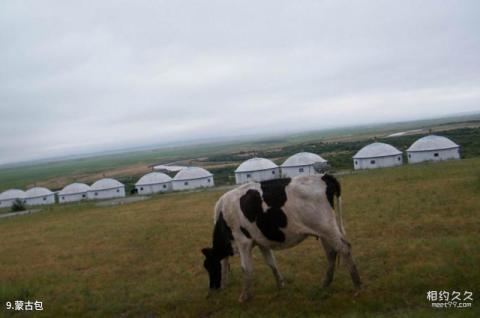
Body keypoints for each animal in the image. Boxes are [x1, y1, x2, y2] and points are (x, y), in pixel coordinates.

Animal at [201, 173, 362, 302]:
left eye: (208, 266)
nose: (212, 289)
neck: (223, 216)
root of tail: (323, 176)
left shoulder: (243, 242)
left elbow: (245, 268)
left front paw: (243, 296)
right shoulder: (261, 241)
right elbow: (271, 263)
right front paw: (280, 284)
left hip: (327, 228)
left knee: (344, 249)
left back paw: (358, 287)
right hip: (323, 232)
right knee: (331, 253)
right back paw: (325, 284)